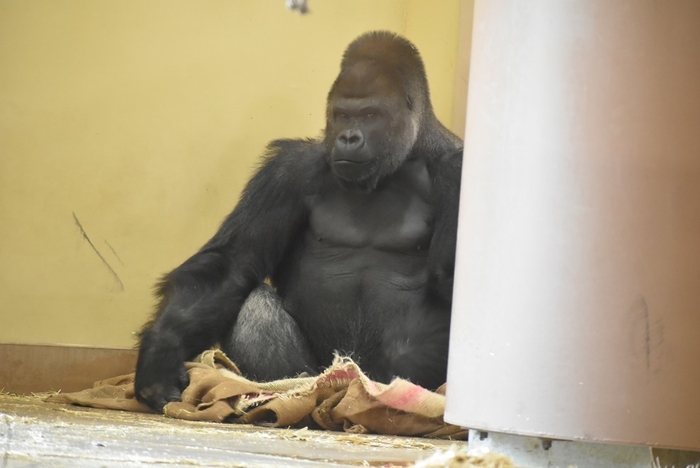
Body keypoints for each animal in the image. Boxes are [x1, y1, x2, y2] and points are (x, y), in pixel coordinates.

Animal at [137, 31, 464, 412]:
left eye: (370, 114)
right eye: (341, 114)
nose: (349, 137)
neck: (405, 156)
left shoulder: (457, 170)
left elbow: (454, 287)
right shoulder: (287, 171)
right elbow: (233, 263)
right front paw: (160, 355)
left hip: (376, 378)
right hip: (320, 370)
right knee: (257, 310)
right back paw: (289, 393)